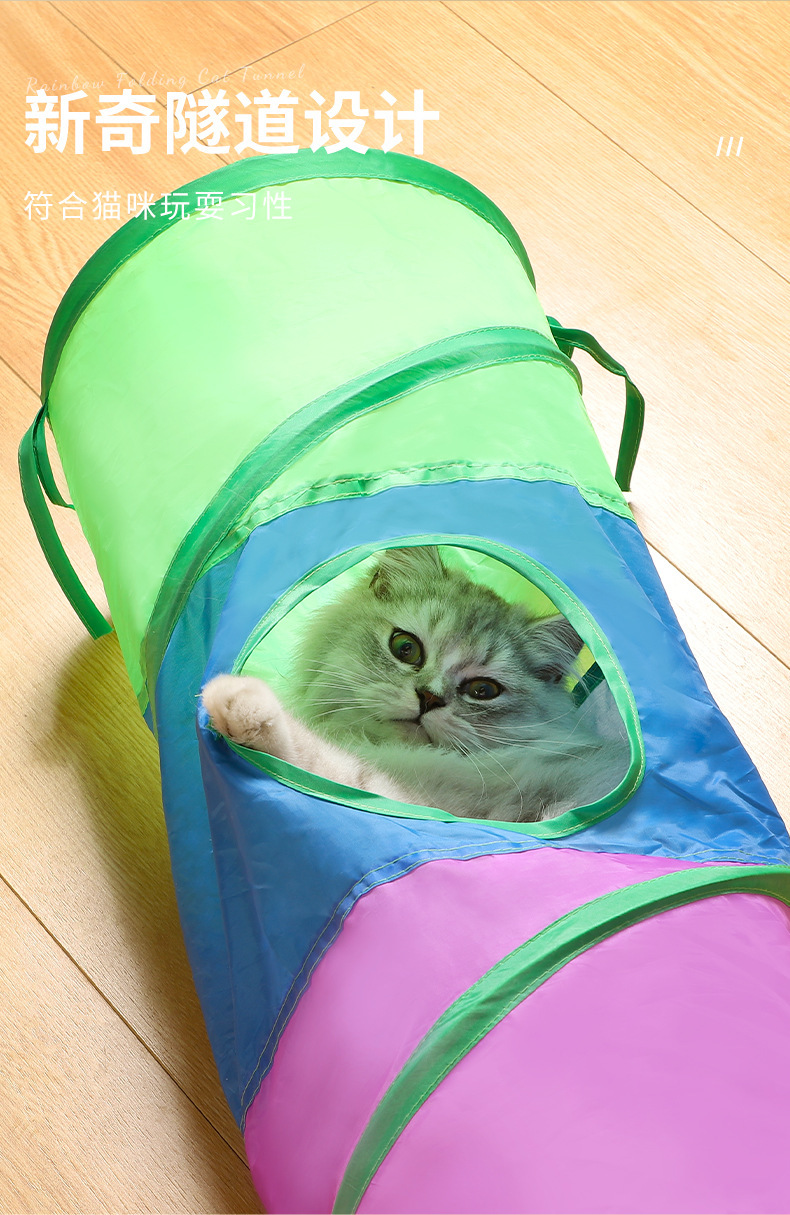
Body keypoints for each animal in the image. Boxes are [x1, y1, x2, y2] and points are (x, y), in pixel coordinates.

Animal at [201, 546, 630, 823]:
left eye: (482, 691)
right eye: (406, 648)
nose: (428, 698)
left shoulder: (408, 796)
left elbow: (318, 757)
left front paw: (235, 697)